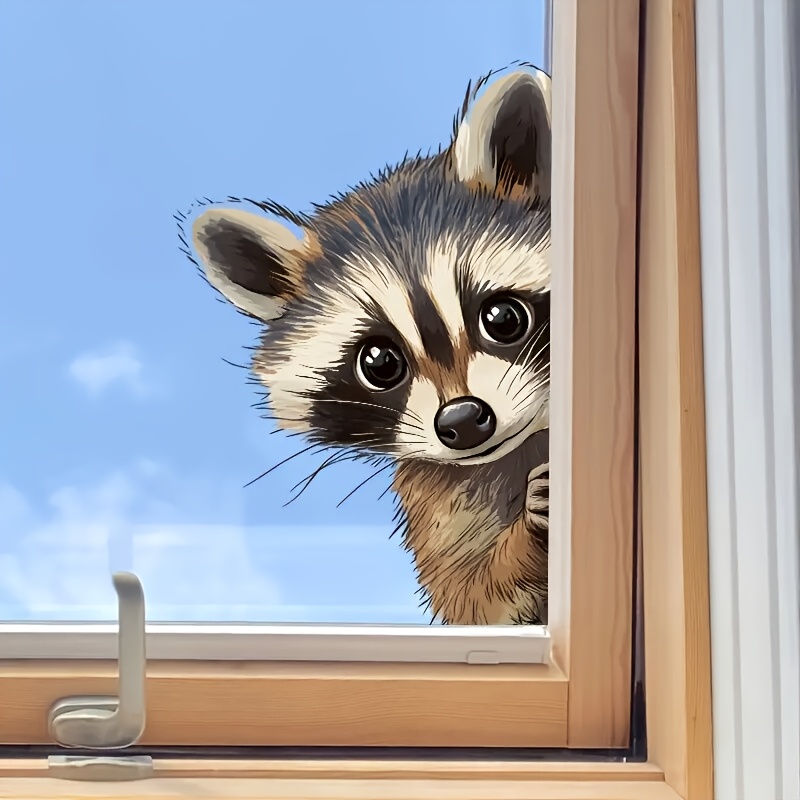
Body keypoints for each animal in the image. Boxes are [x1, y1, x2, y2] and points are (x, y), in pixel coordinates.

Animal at [186, 64, 552, 625]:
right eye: (379, 362)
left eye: (503, 318)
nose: (464, 421)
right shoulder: (439, 496)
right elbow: (477, 597)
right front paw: (522, 542)